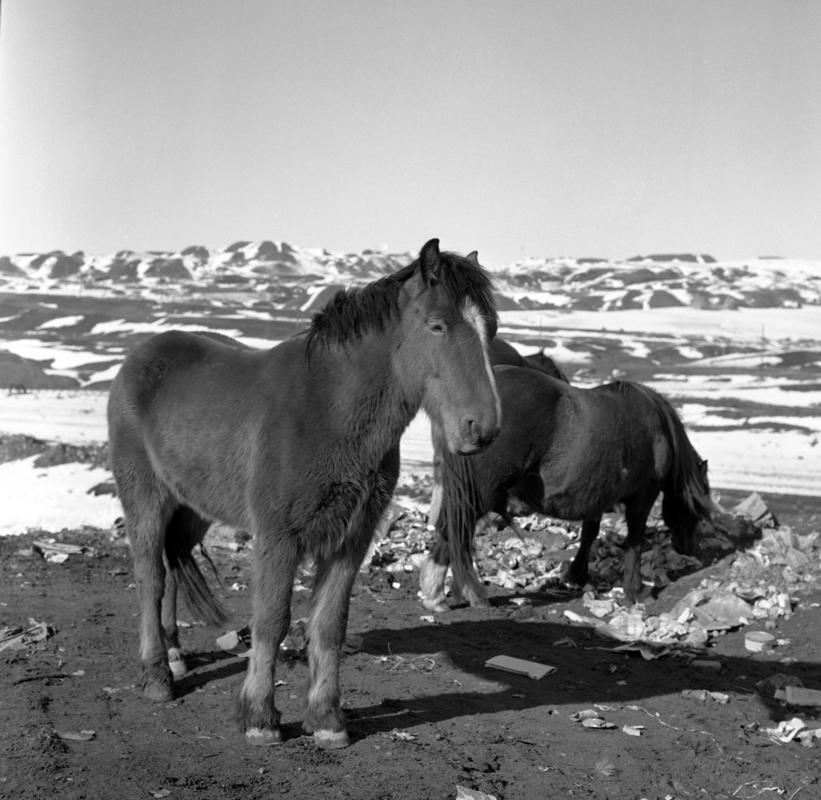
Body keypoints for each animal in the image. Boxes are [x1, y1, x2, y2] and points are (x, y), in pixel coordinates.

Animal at [107, 238, 501, 750]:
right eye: (437, 325)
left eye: (491, 329)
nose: (483, 430)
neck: (331, 409)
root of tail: (139, 358)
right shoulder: (279, 538)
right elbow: (271, 622)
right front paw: (259, 717)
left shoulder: (351, 540)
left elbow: (329, 625)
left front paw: (327, 719)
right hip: (146, 500)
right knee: (151, 578)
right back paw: (157, 676)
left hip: (192, 507)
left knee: (173, 569)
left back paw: (176, 655)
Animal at [418, 365, 713, 612]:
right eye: (697, 509)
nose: (691, 548)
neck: (657, 427)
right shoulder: (643, 495)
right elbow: (634, 540)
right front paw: (636, 590)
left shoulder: (598, 492)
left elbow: (590, 533)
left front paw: (577, 575)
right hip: (476, 495)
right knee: (454, 532)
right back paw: (453, 593)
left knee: (450, 532)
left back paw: (440, 594)